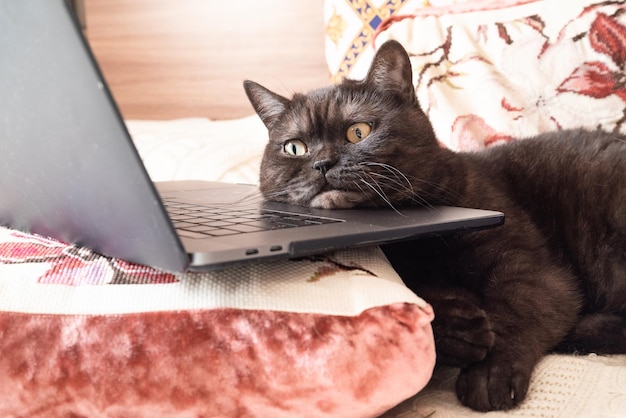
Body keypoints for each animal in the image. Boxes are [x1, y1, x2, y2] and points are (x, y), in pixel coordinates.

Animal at [241, 40, 620, 412]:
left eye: (358, 132)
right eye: (295, 148)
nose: (322, 163)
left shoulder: (534, 270)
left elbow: (518, 309)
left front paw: (489, 374)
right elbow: (418, 297)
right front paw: (457, 327)